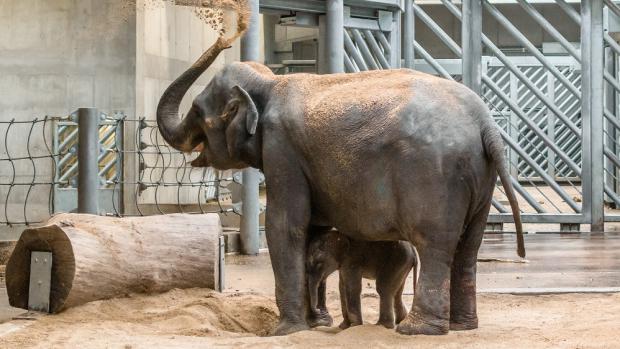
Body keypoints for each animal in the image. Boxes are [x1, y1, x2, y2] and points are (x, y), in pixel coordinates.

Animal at [156, 37, 524, 334]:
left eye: (197, 111)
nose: (224, 38)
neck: (271, 83)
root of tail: (485, 123)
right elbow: (313, 230)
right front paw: (317, 324)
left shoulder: (282, 150)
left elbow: (284, 226)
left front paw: (284, 332)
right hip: (480, 180)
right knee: (468, 246)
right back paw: (462, 327)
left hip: (434, 177)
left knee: (434, 244)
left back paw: (417, 331)